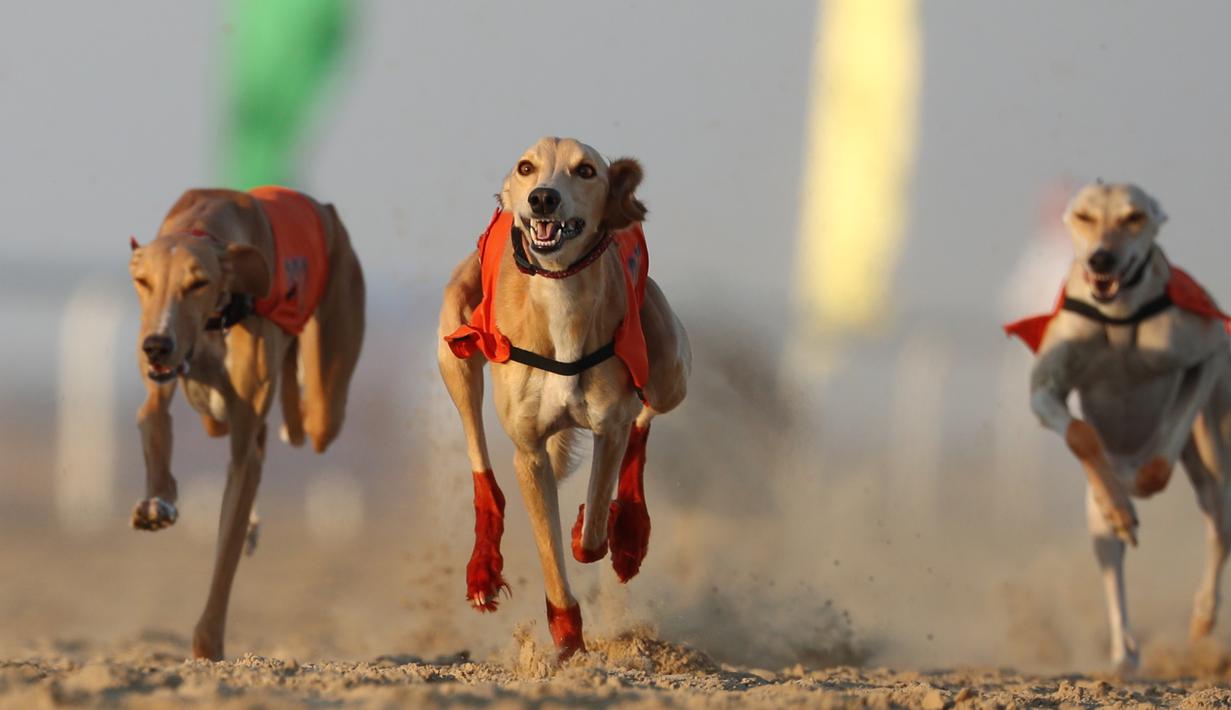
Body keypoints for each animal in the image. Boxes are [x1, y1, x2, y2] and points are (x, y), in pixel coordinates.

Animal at [129, 185, 361, 654]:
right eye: (144, 282)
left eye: (197, 282)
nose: (156, 346)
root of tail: (326, 211)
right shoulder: (164, 383)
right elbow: (152, 420)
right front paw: (157, 500)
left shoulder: (242, 445)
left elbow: (226, 555)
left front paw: (207, 647)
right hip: (212, 408)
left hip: (325, 403)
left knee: (302, 419)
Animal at [440, 137, 694, 659]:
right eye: (526, 167)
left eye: (586, 170)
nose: (542, 198)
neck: (561, 300)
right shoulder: (530, 453)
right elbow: (549, 551)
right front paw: (566, 635)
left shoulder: (609, 427)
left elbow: (592, 534)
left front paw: (598, 533)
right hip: (454, 347)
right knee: (478, 448)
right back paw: (483, 568)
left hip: (668, 367)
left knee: (645, 417)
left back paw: (631, 532)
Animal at [1004, 180, 1231, 669]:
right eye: (1084, 216)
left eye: (1134, 217)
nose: (1101, 259)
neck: (1120, 316)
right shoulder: (1044, 389)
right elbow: (1081, 434)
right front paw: (1118, 501)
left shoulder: (1206, 355)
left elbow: (1159, 460)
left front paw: (1135, 480)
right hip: (1101, 530)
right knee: (1111, 559)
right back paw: (1124, 650)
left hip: (1215, 464)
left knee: (1218, 527)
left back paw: (1203, 616)